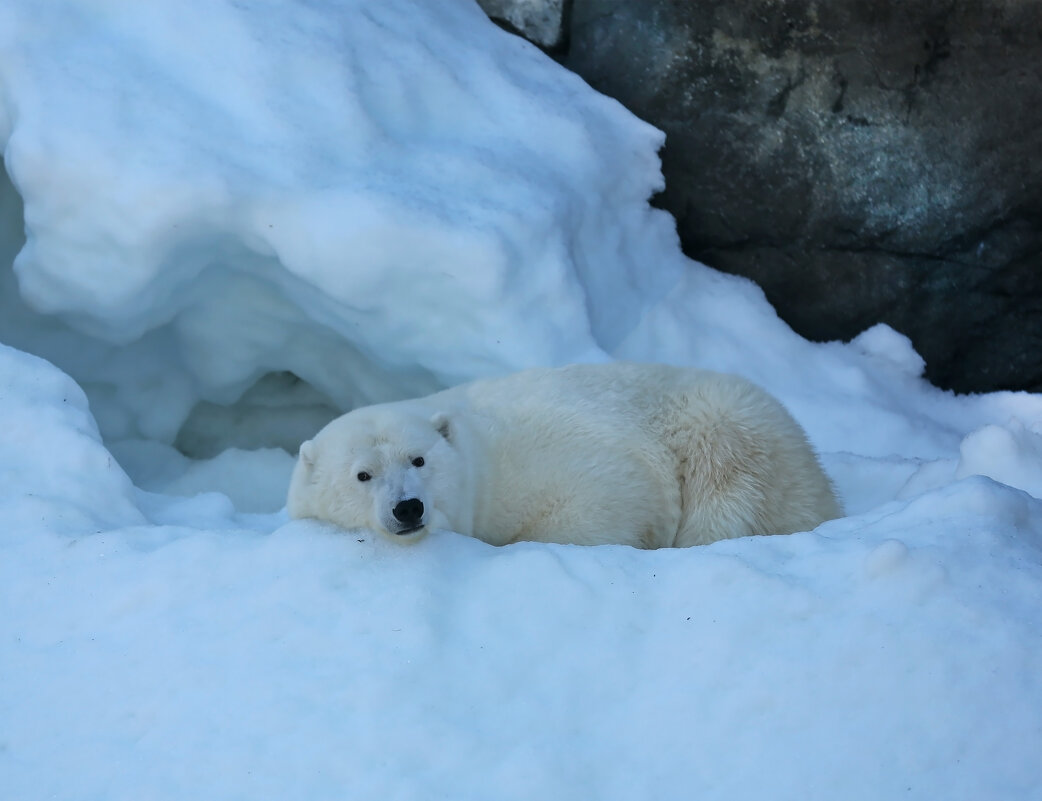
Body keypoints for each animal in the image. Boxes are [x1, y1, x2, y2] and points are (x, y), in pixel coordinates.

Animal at [289, 360, 841, 541]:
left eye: (418, 459)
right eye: (362, 475)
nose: (408, 507)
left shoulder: (545, 459)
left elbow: (612, 495)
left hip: (724, 425)